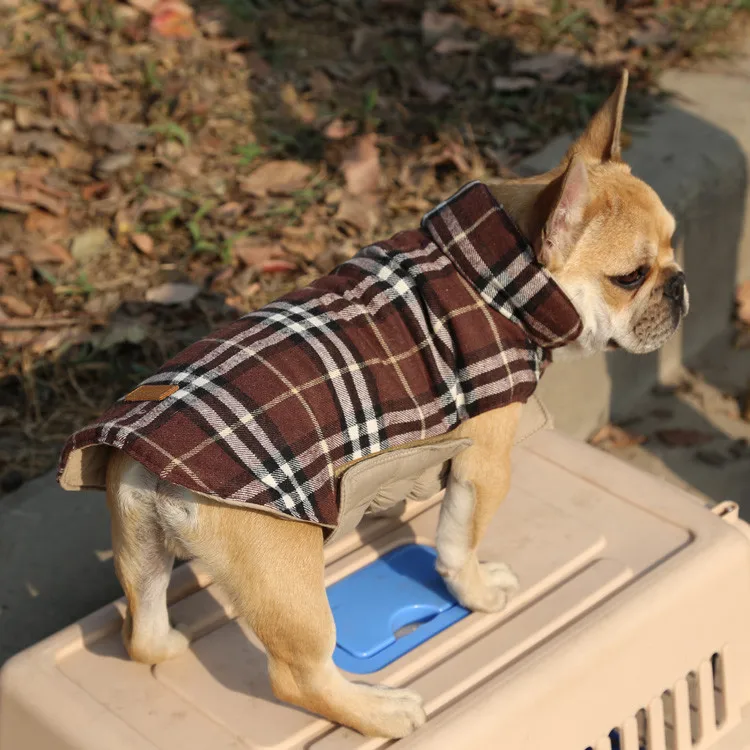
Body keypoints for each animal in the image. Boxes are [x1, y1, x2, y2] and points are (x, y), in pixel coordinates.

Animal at [58, 70, 688, 740]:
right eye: (630, 277)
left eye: (674, 248)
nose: (679, 284)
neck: (500, 273)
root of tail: (152, 463)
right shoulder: (485, 464)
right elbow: (457, 544)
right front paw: (477, 593)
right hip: (288, 580)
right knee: (298, 678)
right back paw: (381, 712)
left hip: (140, 551)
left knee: (142, 632)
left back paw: (170, 643)